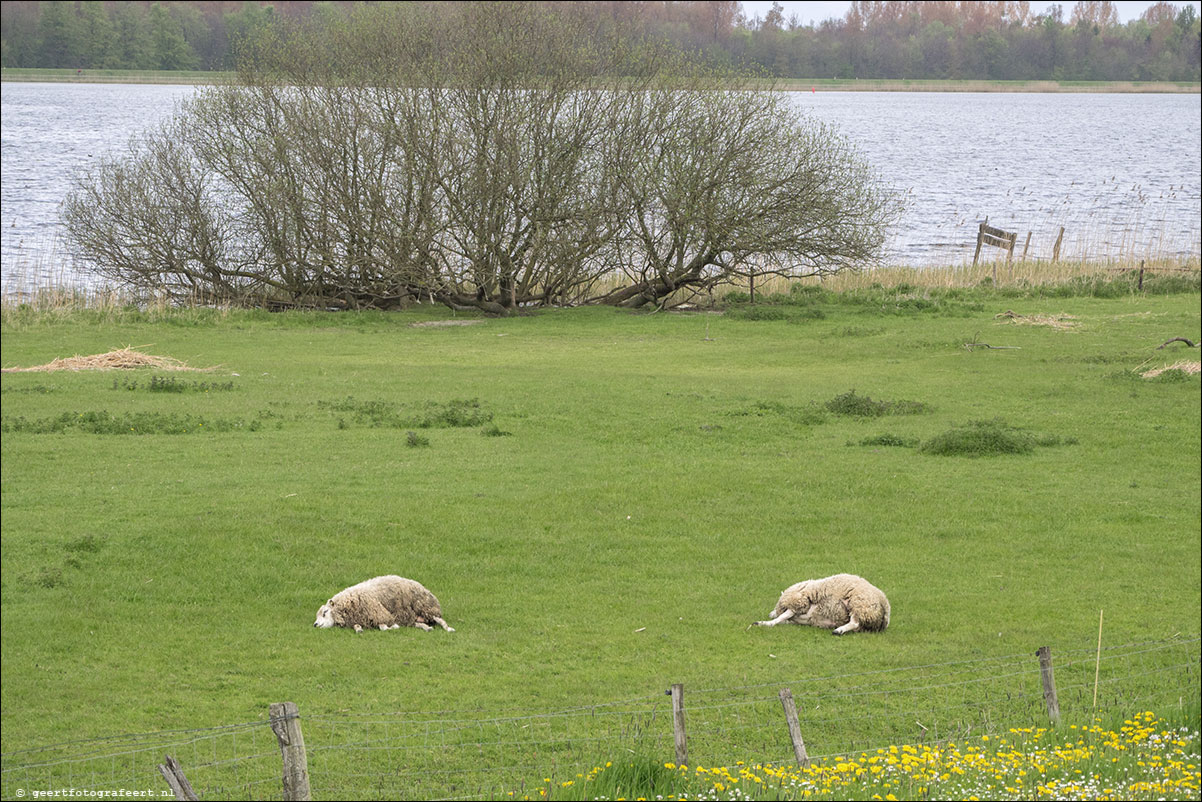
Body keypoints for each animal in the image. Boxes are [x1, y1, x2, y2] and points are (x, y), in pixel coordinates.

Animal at [312, 577, 451, 634]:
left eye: (325, 612)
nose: (315, 624)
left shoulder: (381, 614)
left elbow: (384, 627)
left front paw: (393, 627)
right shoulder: (360, 619)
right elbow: (357, 626)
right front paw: (359, 630)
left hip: (425, 606)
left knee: (440, 620)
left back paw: (448, 628)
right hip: (411, 617)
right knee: (419, 623)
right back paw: (426, 627)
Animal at [754, 574, 889, 634]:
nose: (769, 614)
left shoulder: (800, 602)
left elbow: (782, 616)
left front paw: (764, 623)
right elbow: (784, 619)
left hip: (860, 604)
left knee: (855, 622)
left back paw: (838, 630)